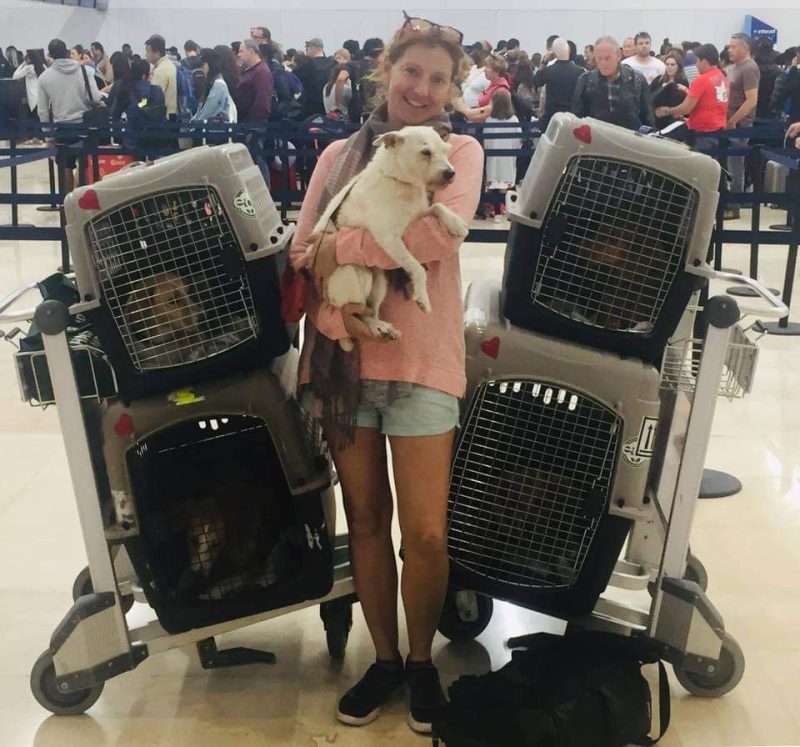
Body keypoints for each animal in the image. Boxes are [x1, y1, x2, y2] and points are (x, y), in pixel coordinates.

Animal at [308, 124, 468, 352]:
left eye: (446, 150)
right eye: (425, 152)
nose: (451, 173)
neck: (400, 182)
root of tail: (329, 299)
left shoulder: (418, 215)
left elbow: (437, 206)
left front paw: (455, 223)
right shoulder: (388, 238)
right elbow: (417, 268)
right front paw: (422, 297)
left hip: (379, 284)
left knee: (370, 311)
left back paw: (382, 327)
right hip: (353, 274)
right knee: (356, 313)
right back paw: (373, 326)